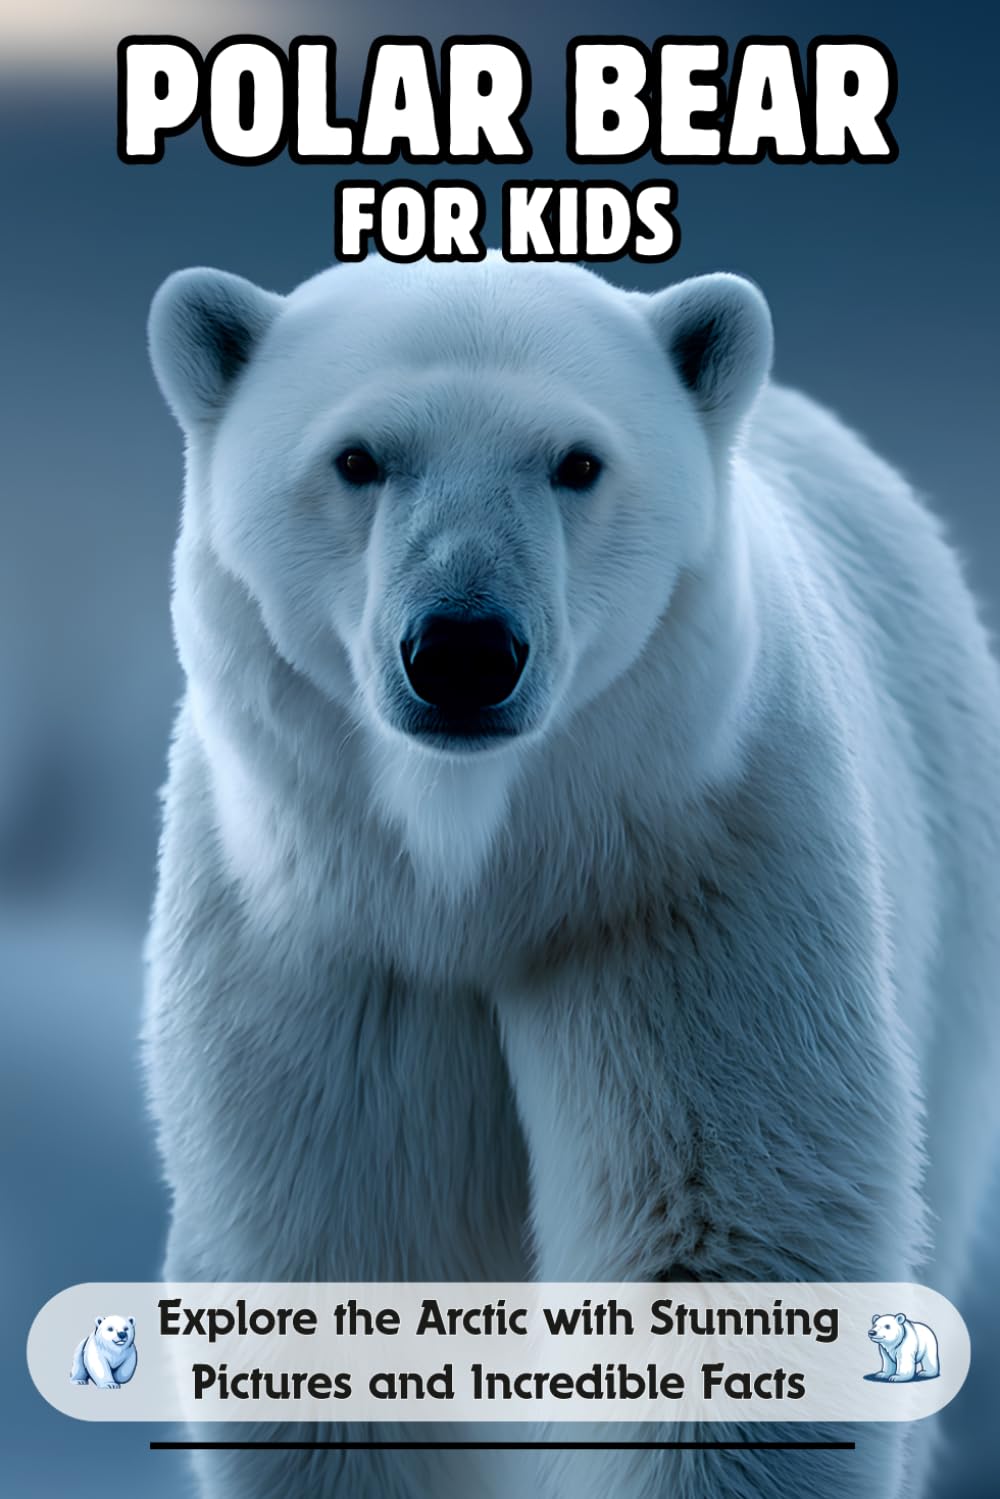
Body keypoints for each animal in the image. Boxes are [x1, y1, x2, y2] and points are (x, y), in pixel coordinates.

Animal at [144, 254, 1000, 1499]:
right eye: (357, 457)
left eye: (577, 461)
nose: (461, 650)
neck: (481, 880)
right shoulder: (322, 940)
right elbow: (339, 1260)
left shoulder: (689, 889)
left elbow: (723, 1247)